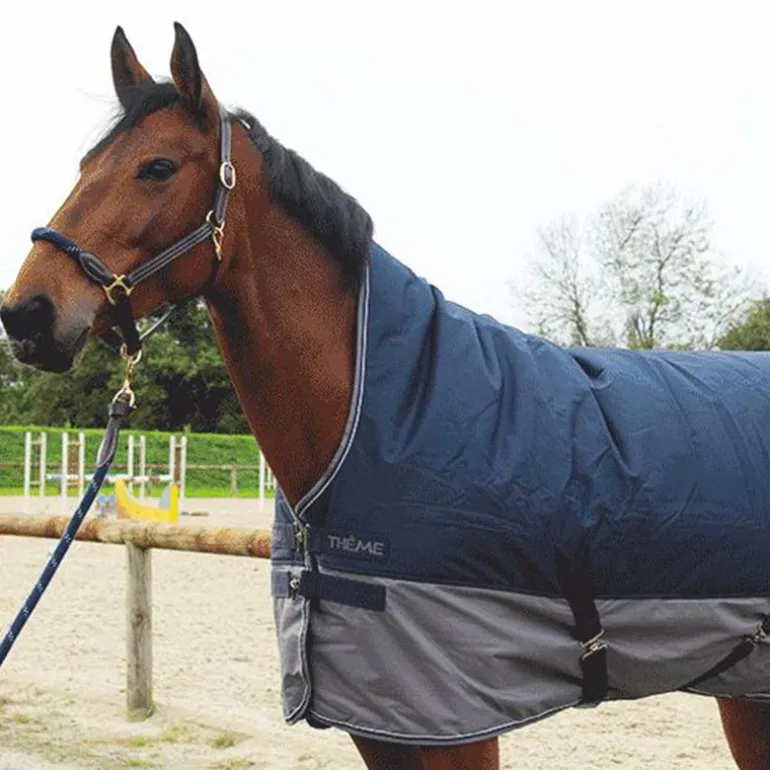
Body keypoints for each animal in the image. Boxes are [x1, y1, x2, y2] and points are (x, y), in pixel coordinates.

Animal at [2, 22, 770, 770]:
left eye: (157, 167)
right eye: (83, 167)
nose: (27, 313)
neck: (374, 412)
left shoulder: (453, 722)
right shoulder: (380, 721)